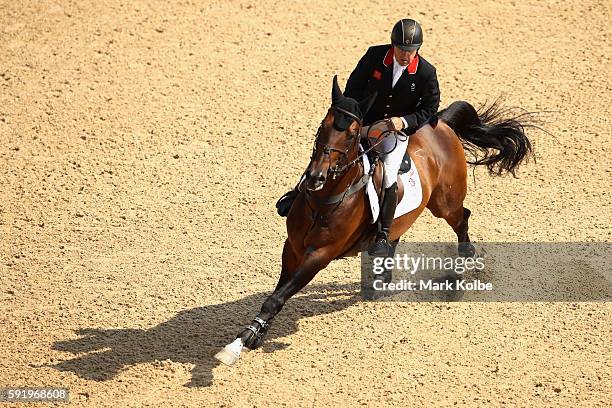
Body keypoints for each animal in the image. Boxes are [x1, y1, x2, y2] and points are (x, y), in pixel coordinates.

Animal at [216, 75, 536, 364]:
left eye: (351, 134)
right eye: (322, 127)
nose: (316, 177)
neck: (323, 200)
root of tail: (440, 122)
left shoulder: (320, 255)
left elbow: (278, 296)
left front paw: (238, 344)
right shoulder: (292, 247)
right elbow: (276, 295)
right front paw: (251, 335)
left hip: (444, 203)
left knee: (461, 219)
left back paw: (464, 263)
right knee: (394, 232)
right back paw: (382, 277)